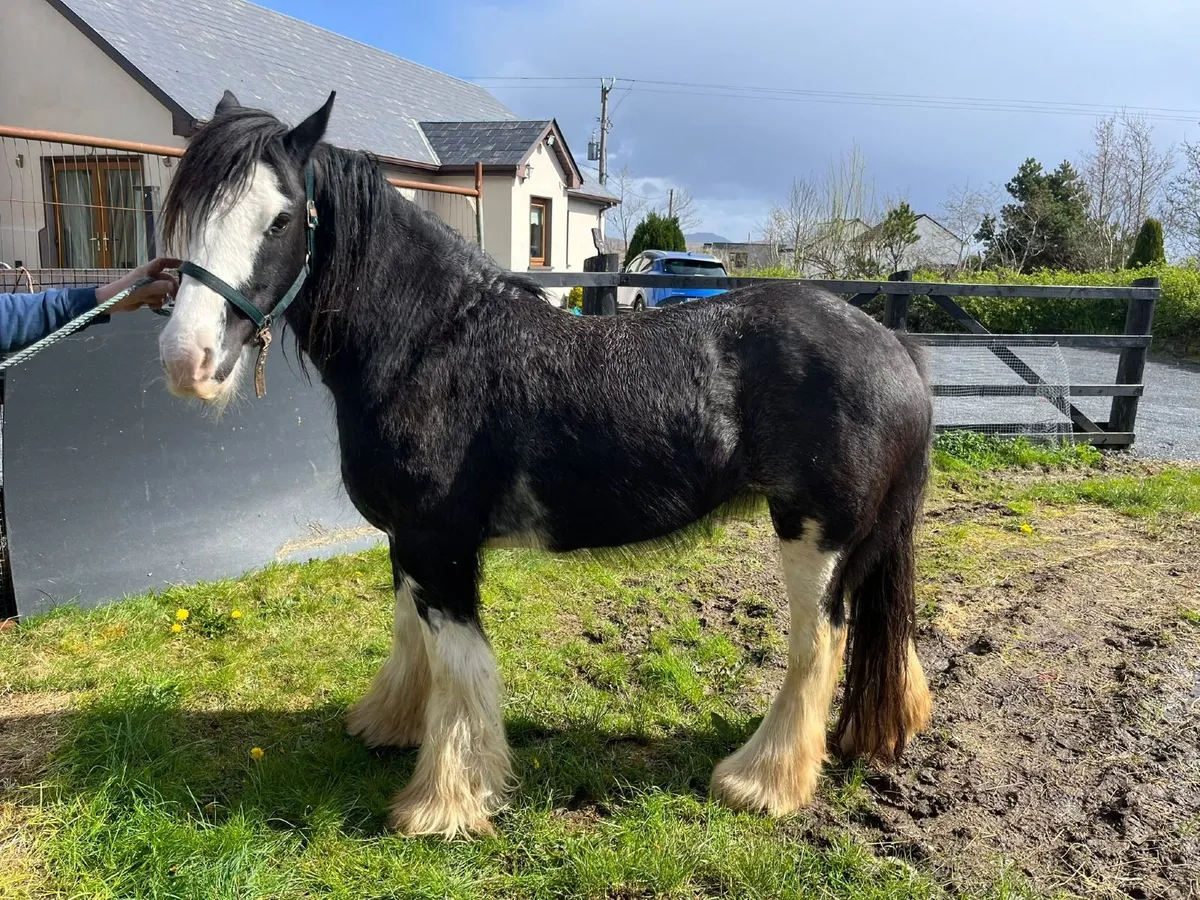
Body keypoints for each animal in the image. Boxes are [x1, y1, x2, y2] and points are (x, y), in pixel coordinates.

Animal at [157, 89, 935, 839]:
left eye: (281, 219)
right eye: (187, 213)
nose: (186, 361)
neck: (428, 344)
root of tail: (894, 347)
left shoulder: (440, 545)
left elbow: (460, 665)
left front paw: (444, 804)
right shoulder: (408, 542)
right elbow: (413, 636)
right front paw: (389, 725)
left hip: (813, 537)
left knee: (817, 645)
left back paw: (761, 782)